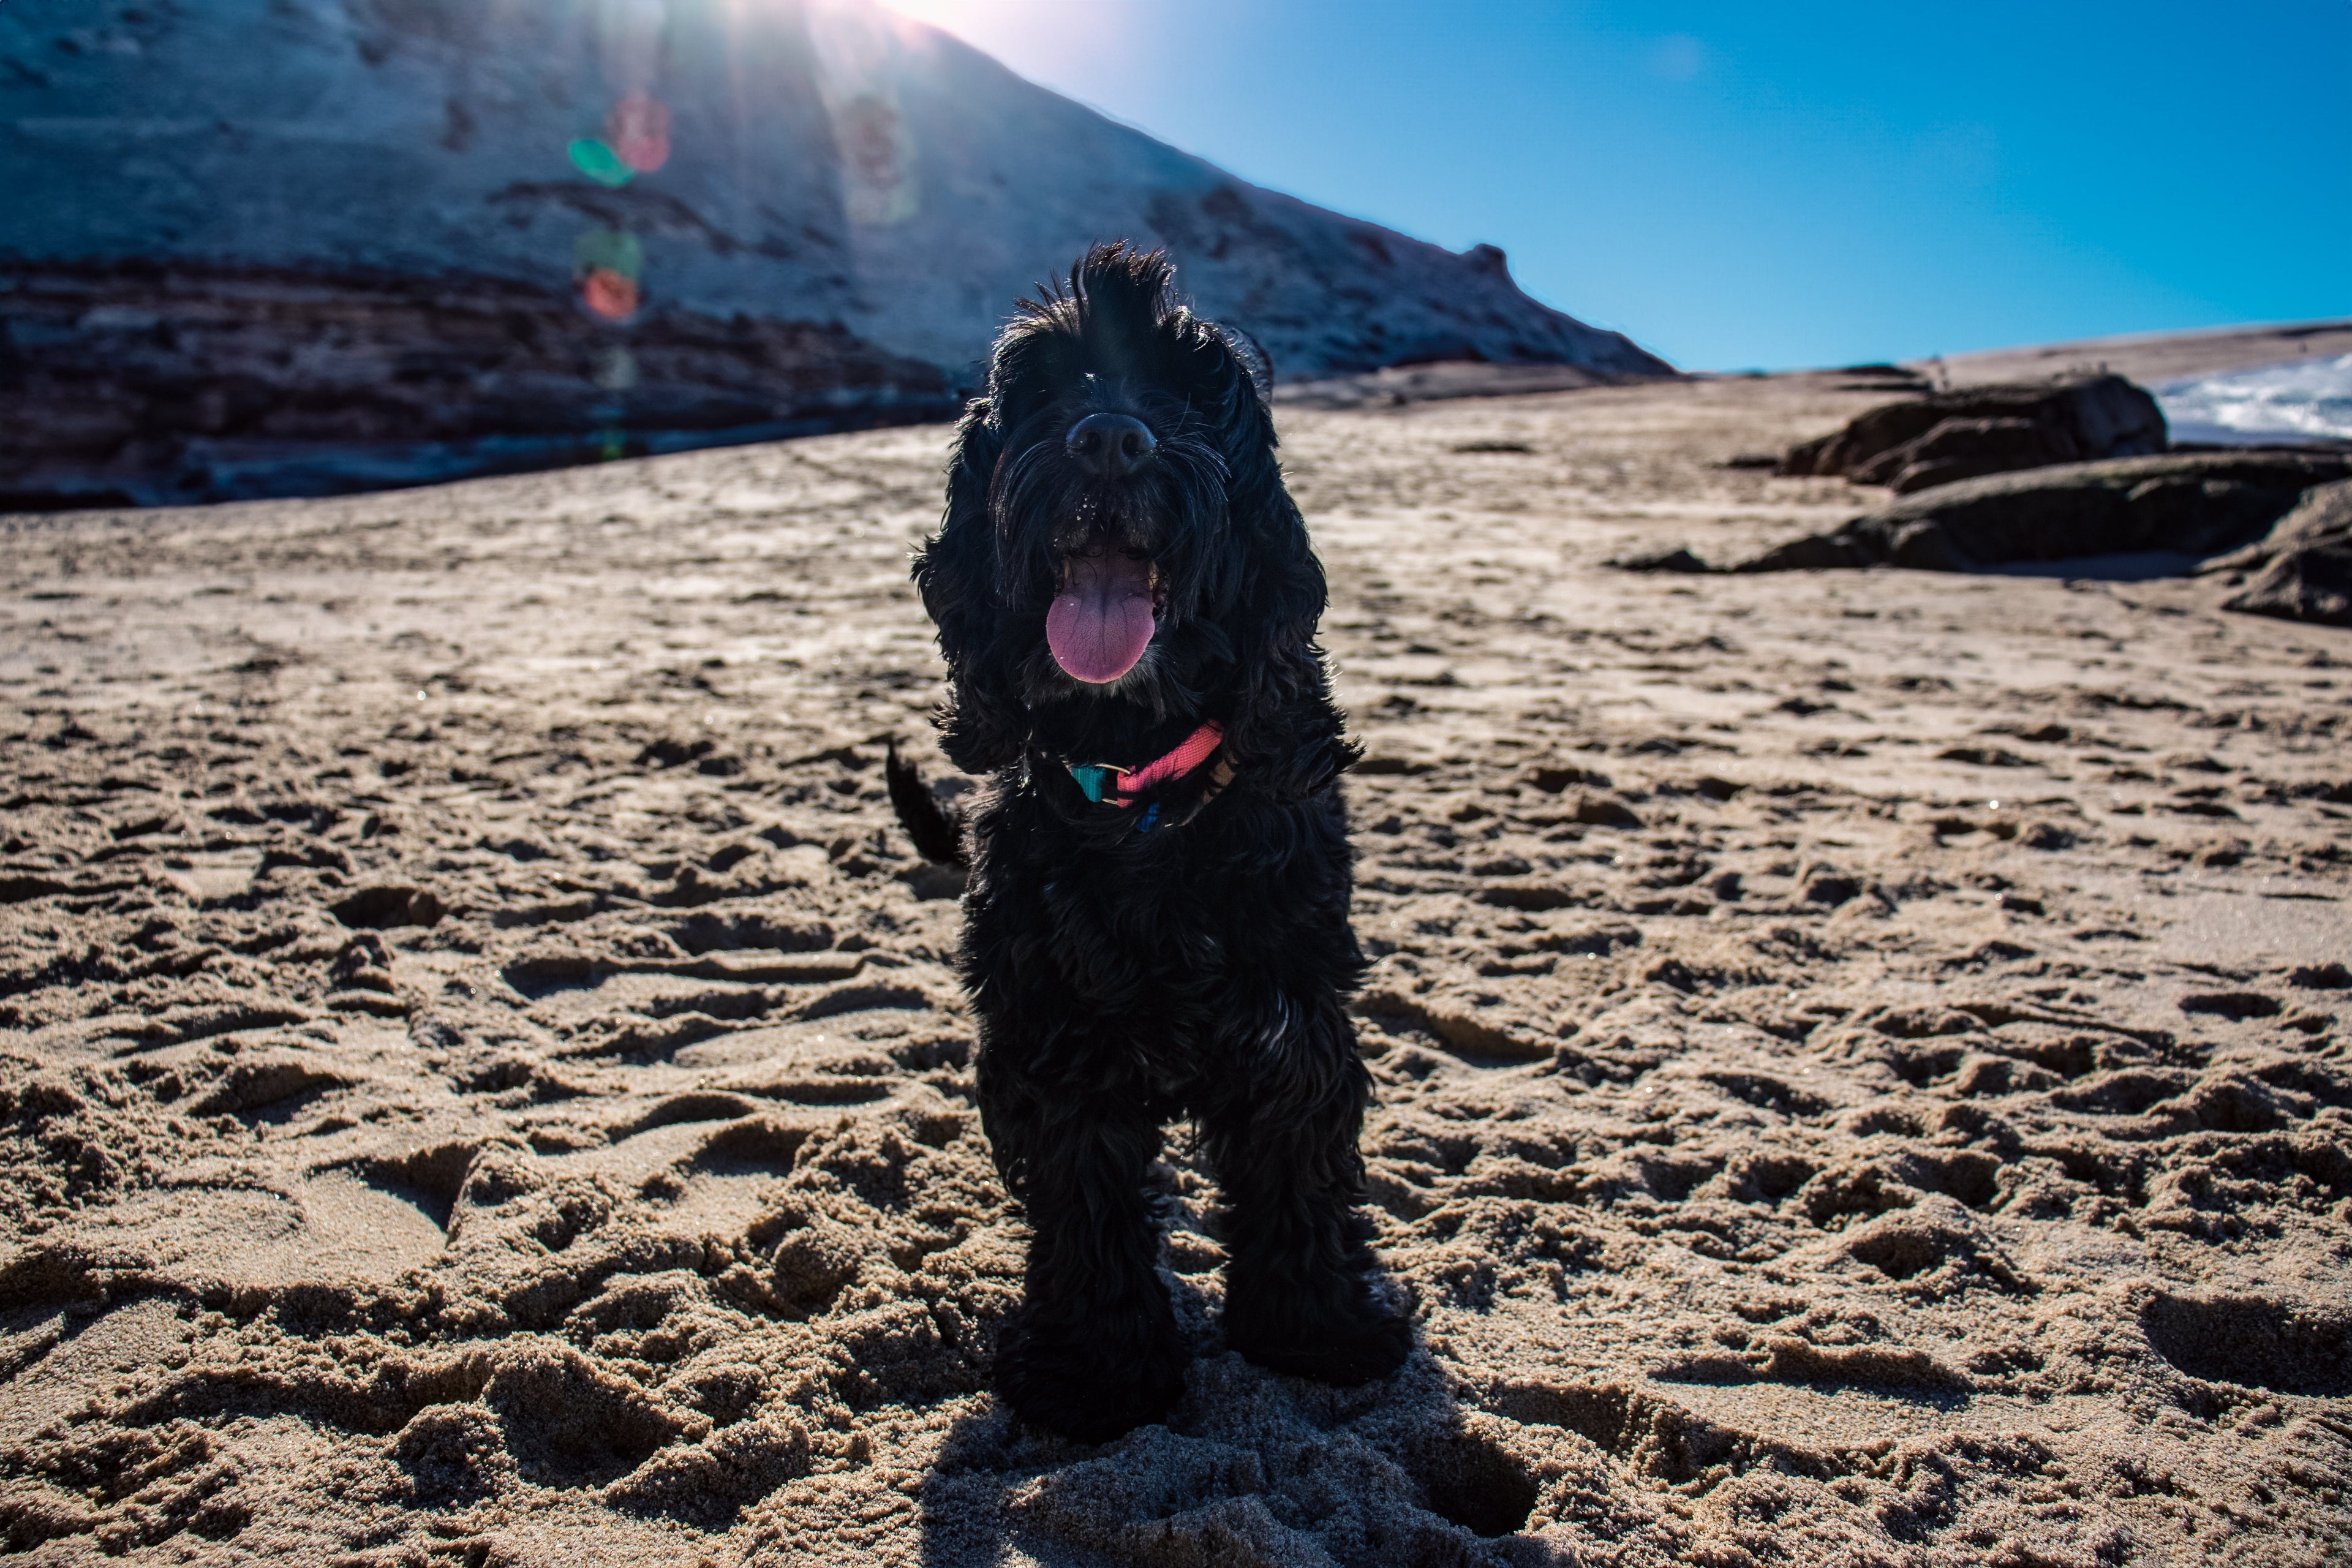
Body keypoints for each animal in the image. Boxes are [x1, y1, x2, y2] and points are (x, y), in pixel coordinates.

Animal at [894, 239, 1411, 1438]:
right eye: (1048, 387)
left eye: (1189, 392)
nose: (1111, 440)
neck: (1141, 797)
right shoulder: (1051, 1034)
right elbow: (1086, 1205)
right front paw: (1094, 1369)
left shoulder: (1290, 1015)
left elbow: (1297, 1169)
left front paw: (1317, 1327)